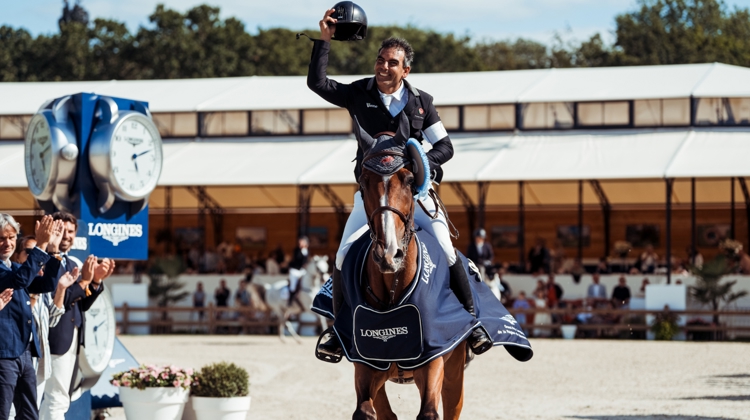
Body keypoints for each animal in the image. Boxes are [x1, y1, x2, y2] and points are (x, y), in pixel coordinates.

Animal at [352, 119, 470, 420]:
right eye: (363, 181)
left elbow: (429, 412)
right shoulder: (366, 366)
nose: (388, 254)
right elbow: (366, 412)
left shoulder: (433, 362)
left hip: (453, 374)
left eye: (407, 179)